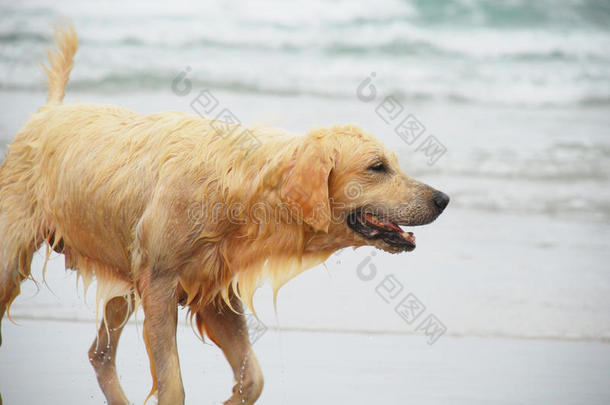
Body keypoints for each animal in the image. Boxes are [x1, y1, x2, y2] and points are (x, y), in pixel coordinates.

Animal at [0, 24, 446, 404]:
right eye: (377, 167)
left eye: (394, 164)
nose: (442, 199)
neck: (239, 192)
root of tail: (48, 111)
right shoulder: (160, 284)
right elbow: (173, 386)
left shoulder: (215, 293)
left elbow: (253, 378)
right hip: (18, 256)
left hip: (124, 271)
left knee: (99, 354)